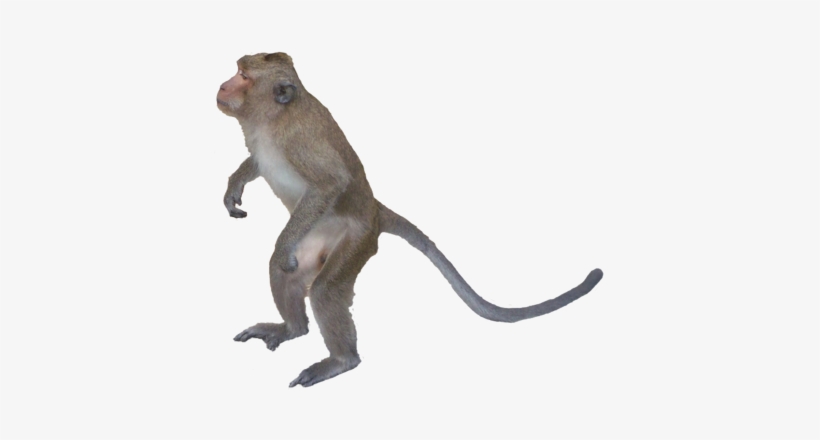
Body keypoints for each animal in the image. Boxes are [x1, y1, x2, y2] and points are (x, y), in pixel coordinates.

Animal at [217, 52, 604, 388]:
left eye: (244, 77)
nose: (222, 86)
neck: (271, 118)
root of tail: (375, 209)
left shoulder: (298, 141)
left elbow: (330, 184)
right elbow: (256, 163)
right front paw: (235, 184)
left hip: (357, 238)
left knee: (324, 288)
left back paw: (341, 360)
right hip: (318, 237)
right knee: (286, 271)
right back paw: (293, 329)